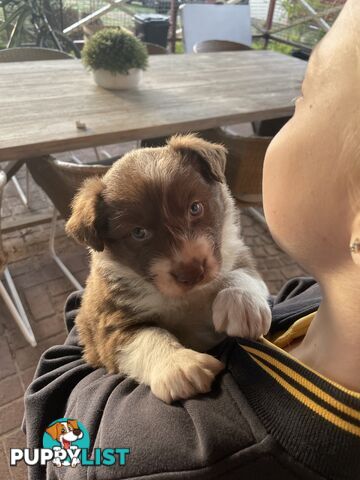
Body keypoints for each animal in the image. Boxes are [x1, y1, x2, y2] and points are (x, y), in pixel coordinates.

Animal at [66, 133, 272, 404]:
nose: (192, 272)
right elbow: (147, 335)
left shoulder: (234, 252)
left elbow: (241, 273)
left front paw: (241, 304)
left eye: (195, 208)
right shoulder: (108, 327)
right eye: (139, 233)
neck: (187, 298)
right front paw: (180, 365)